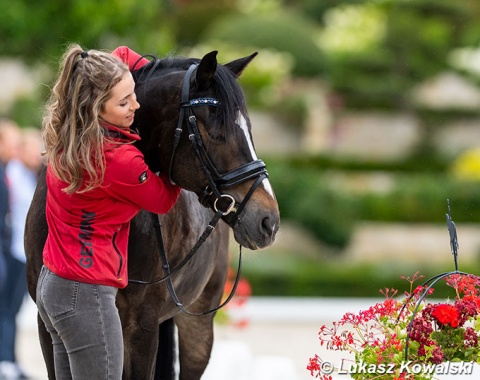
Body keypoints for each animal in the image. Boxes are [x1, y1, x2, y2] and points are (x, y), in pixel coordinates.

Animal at [25, 51, 282, 380]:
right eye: (217, 134)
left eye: (249, 129)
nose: (268, 221)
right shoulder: (49, 326)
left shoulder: (142, 326)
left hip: (197, 325)